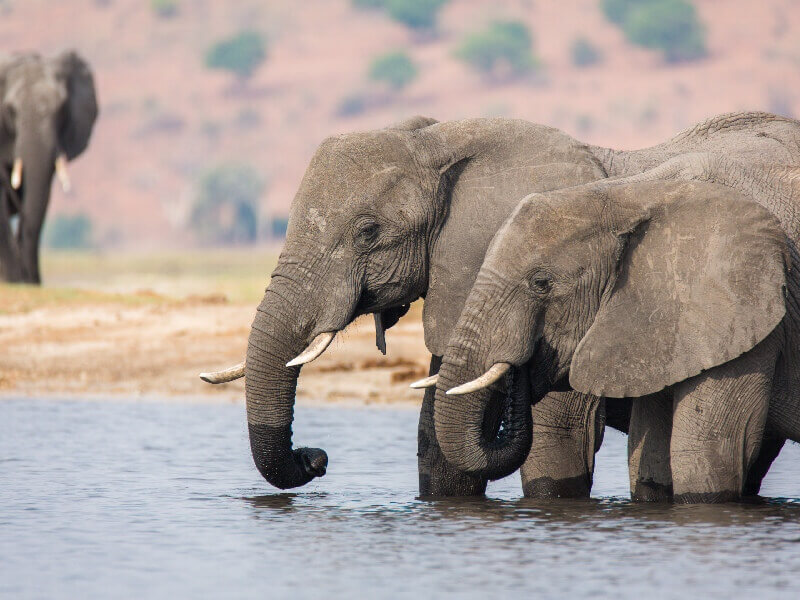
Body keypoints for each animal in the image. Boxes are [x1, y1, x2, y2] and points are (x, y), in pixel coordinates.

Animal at [434, 111, 800, 502]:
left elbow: (707, 453)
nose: (521, 365)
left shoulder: (745, 315)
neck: (631, 195)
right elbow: (649, 457)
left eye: (541, 284)